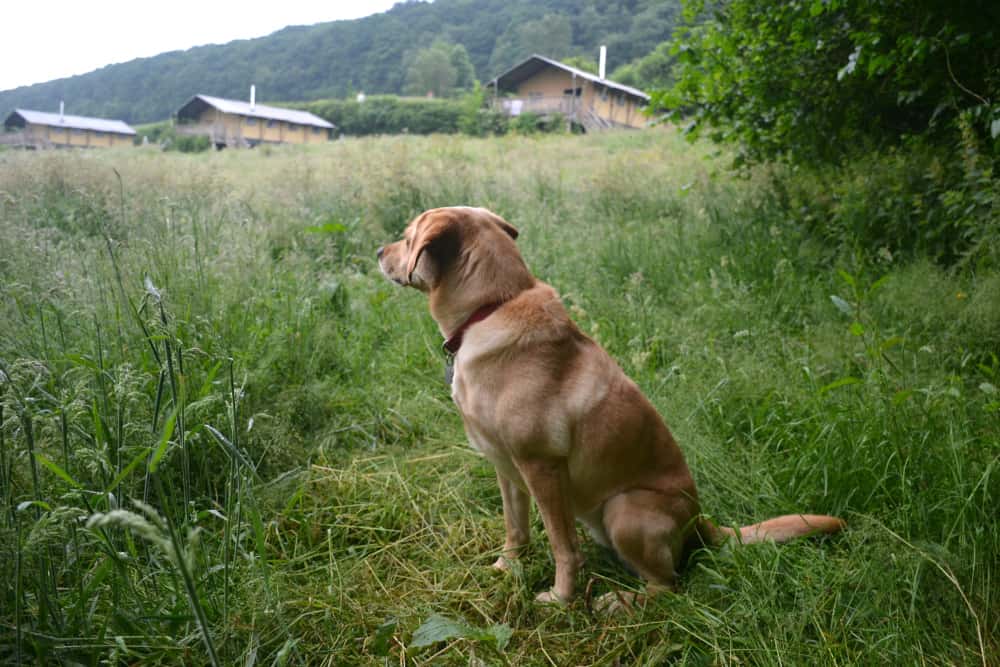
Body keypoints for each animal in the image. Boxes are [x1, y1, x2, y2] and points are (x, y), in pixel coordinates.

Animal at [376, 206, 844, 608]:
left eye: (407, 237)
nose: (378, 252)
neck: (493, 306)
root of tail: (700, 520)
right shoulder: (505, 467)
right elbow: (516, 528)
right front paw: (507, 567)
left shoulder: (542, 468)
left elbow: (562, 546)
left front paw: (561, 598)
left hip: (625, 510)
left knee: (669, 586)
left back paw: (619, 602)